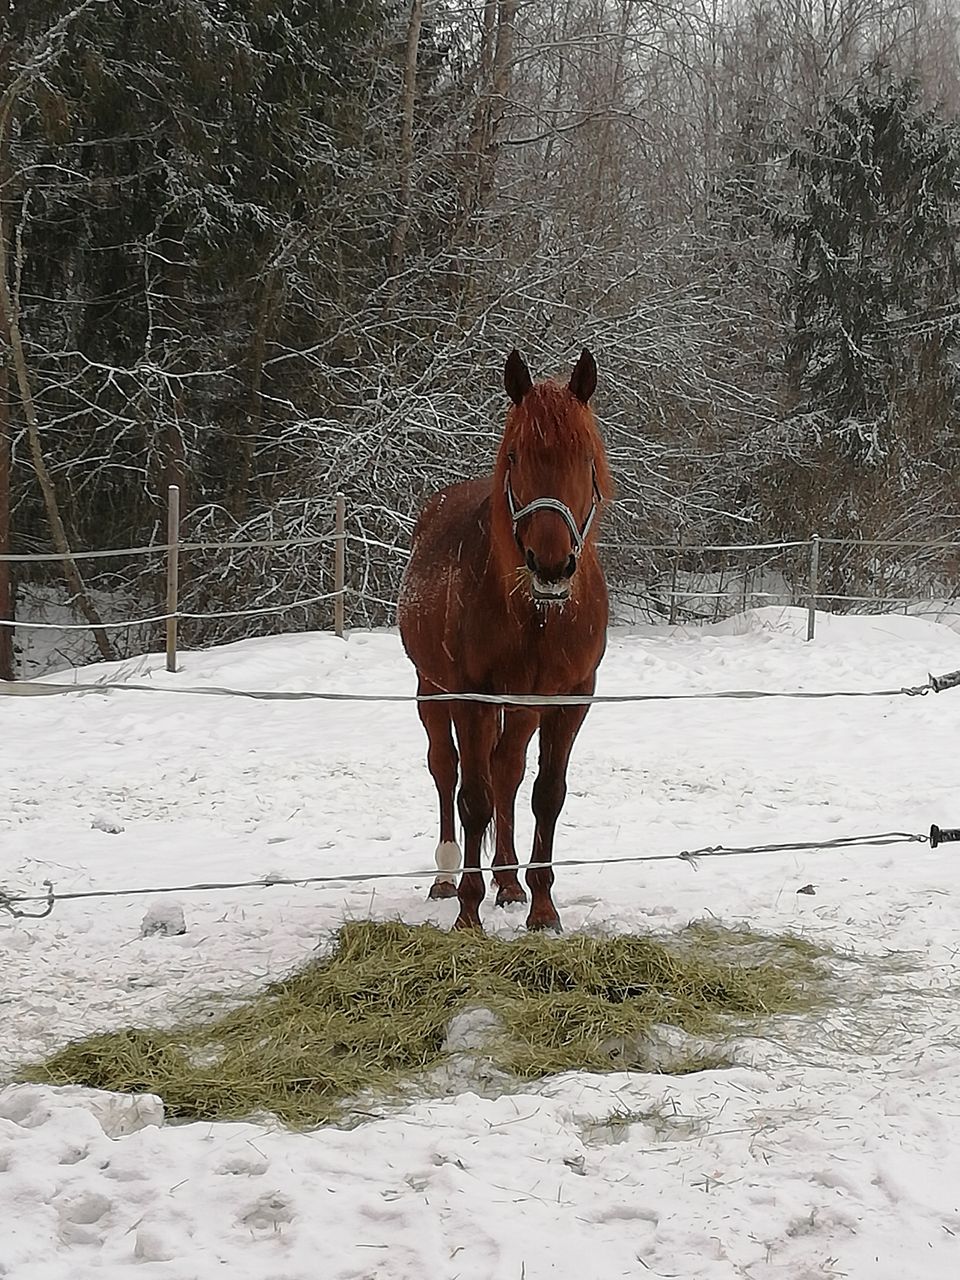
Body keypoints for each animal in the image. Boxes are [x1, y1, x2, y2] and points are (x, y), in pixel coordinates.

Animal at [399, 348, 616, 931]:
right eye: (515, 456)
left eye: (585, 458)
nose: (551, 566)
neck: (535, 614)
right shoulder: (471, 697)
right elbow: (473, 798)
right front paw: (468, 914)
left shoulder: (568, 701)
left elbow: (546, 795)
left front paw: (541, 908)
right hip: (432, 690)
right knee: (447, 770)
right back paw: (447, 877)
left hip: (519, 708)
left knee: (507, 772)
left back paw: (510, 882)